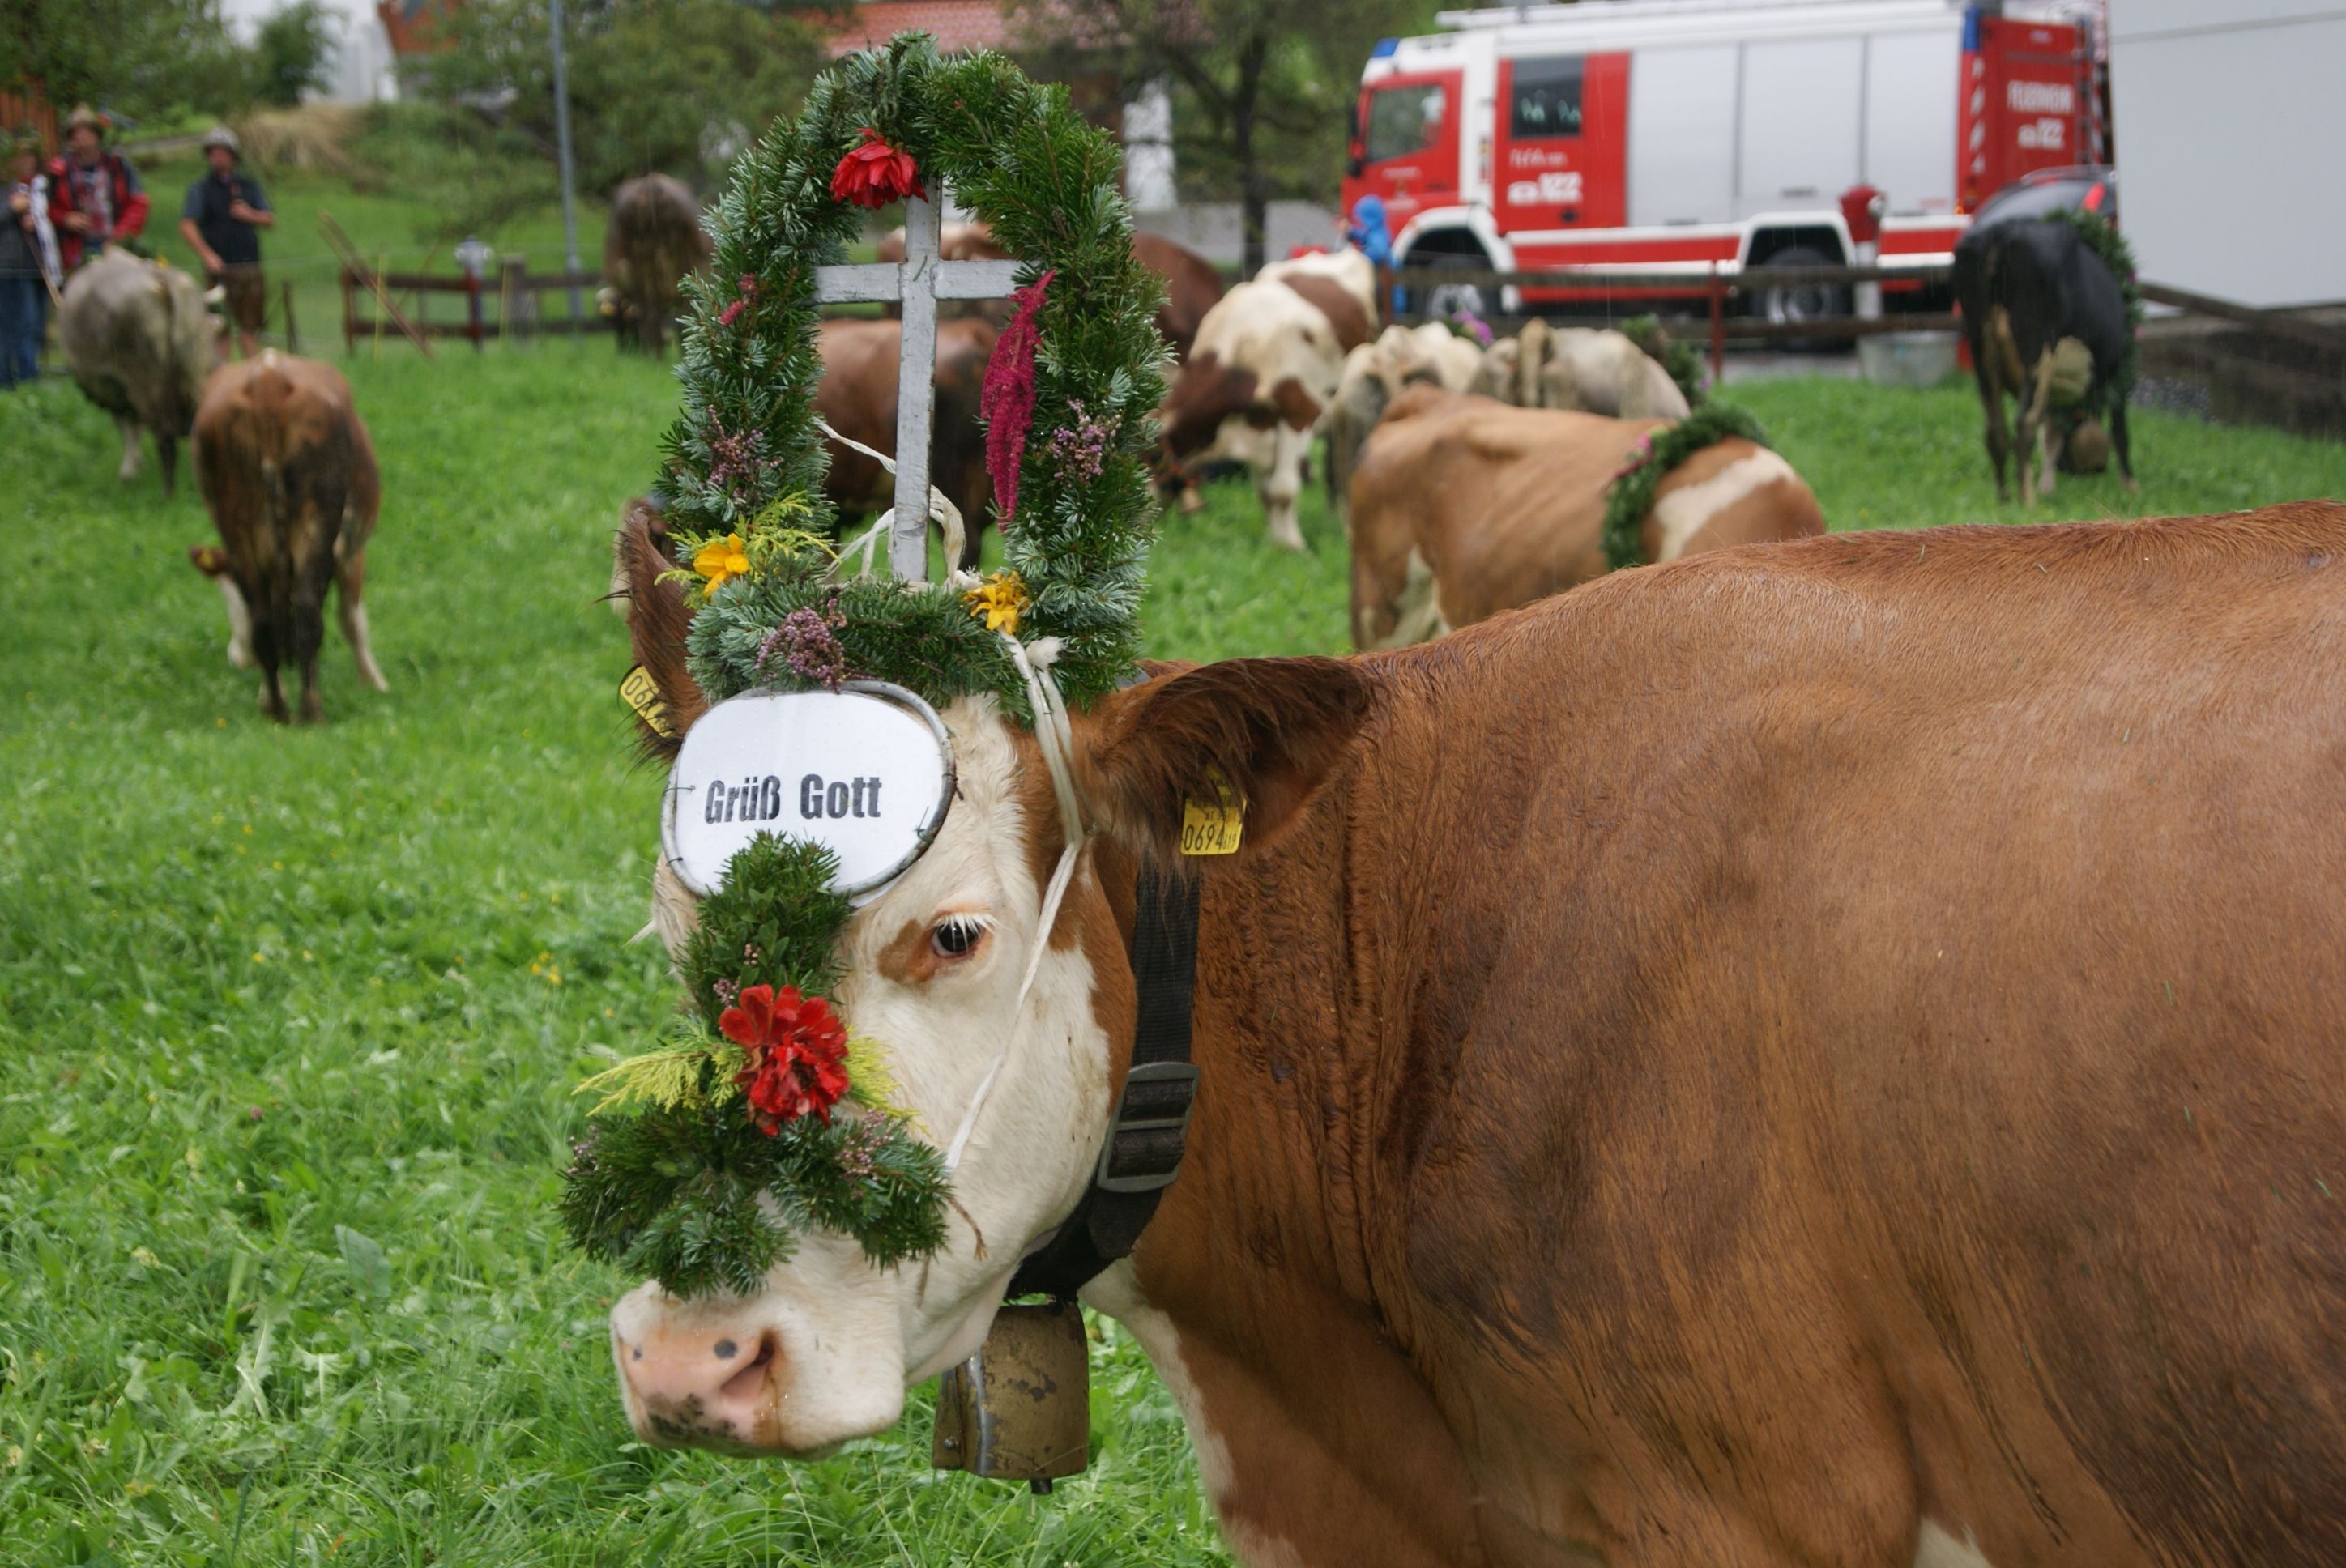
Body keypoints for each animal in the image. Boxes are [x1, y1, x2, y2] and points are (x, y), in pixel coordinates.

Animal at [57, 248, 215, 495]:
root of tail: (160, 280)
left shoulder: (112, 387)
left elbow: (127, 428)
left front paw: (128, 472)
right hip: (193, 371)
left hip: (145, 381)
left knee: (164, 436)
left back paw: (167, 494)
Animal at [188, 351, 385, 723]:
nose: (239, 658)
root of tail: (268, 376)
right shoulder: (350, 550)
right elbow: (350, 618)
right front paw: (376, 683)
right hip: (317, 519)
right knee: (307, 611)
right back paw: (311, 712)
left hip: (238, 525)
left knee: (265, 619)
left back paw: (278, 709)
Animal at [1156, 267, 1376, 550]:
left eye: (1150, 458)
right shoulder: (1258, 426)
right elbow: (1265, 491)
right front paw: (1275, 541)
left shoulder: (1299, 413)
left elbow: (1282, 490)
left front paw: (1293, 545)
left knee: (1341, 465)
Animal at [1952, 216, 2136, 506]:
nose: (2091, 469)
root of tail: (1999, 232)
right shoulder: (2118, 376)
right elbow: (2120, 432)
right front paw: (2131, 488)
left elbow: (2050, 434)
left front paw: (2047, 485)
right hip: (2036, 349)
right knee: (2024, 422)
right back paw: (2027, 502)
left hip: (1979, 347)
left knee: (1995, 428)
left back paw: (2004, 498)